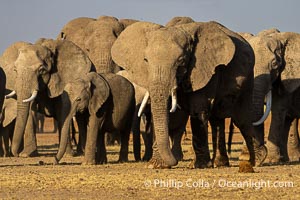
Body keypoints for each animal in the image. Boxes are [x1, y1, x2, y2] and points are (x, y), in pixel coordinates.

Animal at [111, 19, 256, 172]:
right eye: (146, 60)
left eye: (181, 62)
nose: (175, 162)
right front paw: (155, 165)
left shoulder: (206, 70)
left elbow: (198, 109)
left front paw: (199, 166)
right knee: (218, 119)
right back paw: (220, 163)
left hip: (247, 79)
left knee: (242, 118)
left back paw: (255, 160)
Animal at [238, 29, 300, 164]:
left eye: (275, 64)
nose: (255, 159)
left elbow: (278, 108)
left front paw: (271, 160)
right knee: (289, 119)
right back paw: (286, 159)